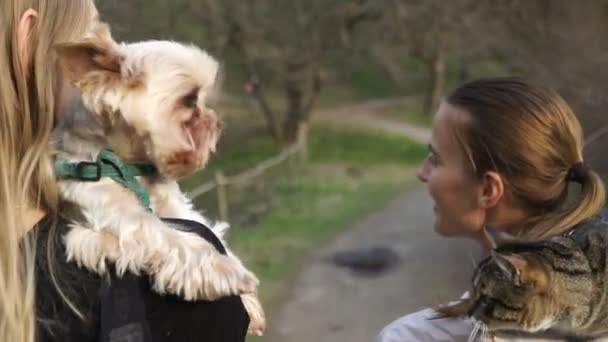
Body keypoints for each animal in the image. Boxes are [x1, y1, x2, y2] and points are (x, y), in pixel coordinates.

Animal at [54, 23, 266, 334]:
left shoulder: (176, 207)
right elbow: (172, 239)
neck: (134, 167)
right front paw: (227, 271)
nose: (217, 124)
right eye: (189, 100)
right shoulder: (123, 217)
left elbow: (208, 229)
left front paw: (250, 300)